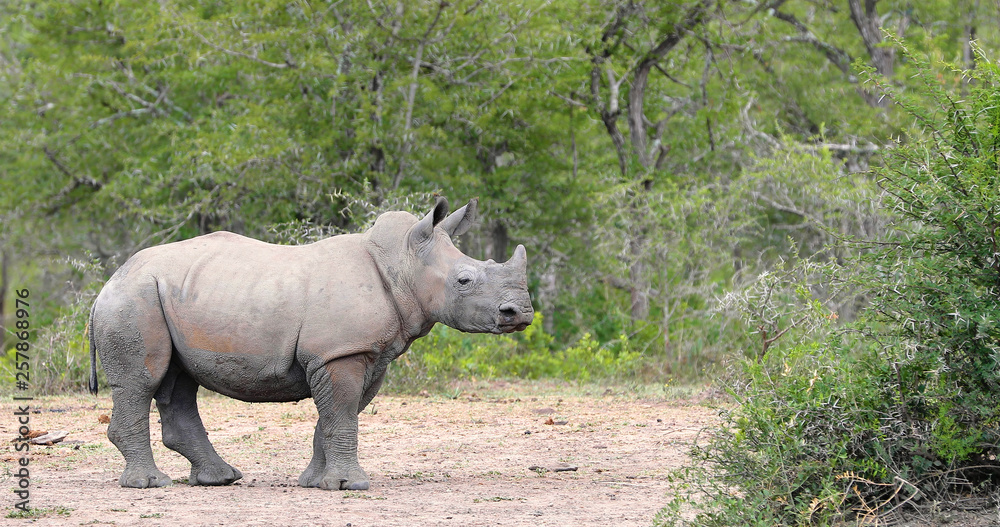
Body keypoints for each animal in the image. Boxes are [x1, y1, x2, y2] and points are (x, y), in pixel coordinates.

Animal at [88, 197, 533, 491]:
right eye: (464, 280)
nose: (521, 313)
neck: (403, 263)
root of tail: (110, 280)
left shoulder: (363, 352)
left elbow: (337, 416)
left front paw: (317, 482)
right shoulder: (340, 352)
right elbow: (342, 413)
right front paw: (351, 486)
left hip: (168, 296)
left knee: (180, 381)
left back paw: (219, 479)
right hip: (134, 299)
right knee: (142, 382)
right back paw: (150, 483)